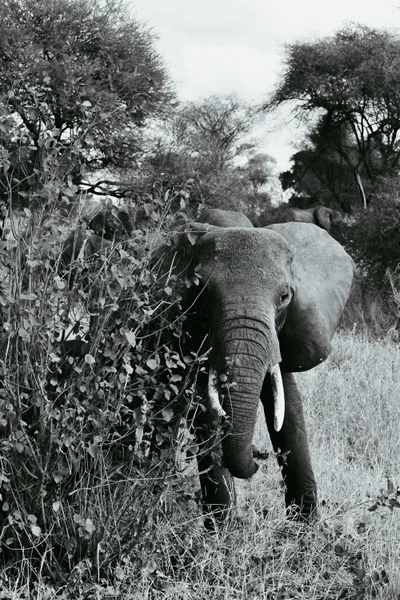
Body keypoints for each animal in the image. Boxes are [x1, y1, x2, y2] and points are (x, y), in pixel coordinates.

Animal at [155, 210, 354, 524]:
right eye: (202, 295)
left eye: (285, 297)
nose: (256, 455)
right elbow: (205, 411)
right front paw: (222, 531)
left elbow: (288, 407)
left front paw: (307, 528)